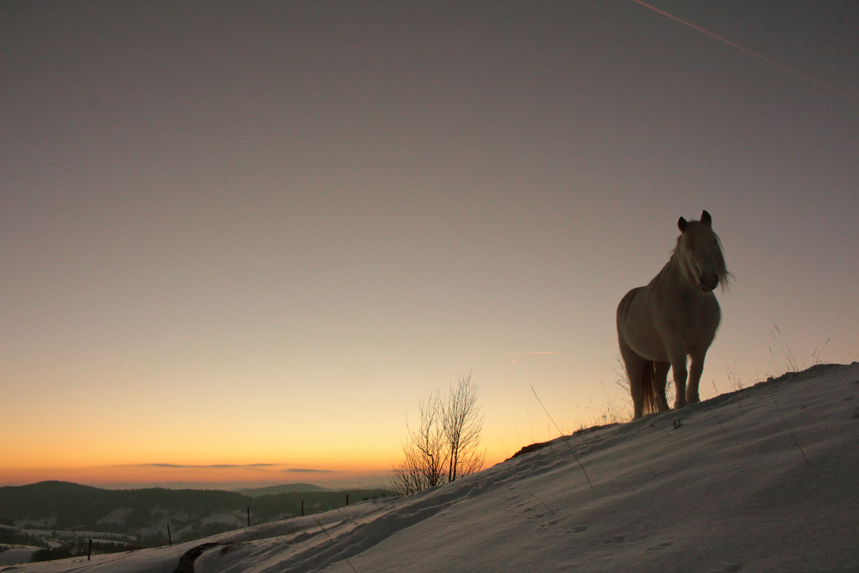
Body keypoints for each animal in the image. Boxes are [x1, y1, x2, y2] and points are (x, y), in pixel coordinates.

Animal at [620, 208, 732, 418]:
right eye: (688, 247)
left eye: (713, 241)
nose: (708, 280)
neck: (690, 303)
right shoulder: (675, 344)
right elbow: (681, 373)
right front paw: (681, 404)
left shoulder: (701, 345)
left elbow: (696, 371)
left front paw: (693, 400)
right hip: (633, 359)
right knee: (636, 390)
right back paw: (638, 417)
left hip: (661, 358)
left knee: (658, 383)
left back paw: (663, 410)